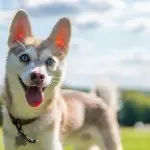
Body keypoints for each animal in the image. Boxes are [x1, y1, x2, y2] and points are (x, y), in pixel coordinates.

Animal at [1, 9, 122, 150]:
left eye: (50, 61)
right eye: (24, 57)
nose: (38, 75)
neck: (28, 116)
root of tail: (98, 99)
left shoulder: (52, 144)